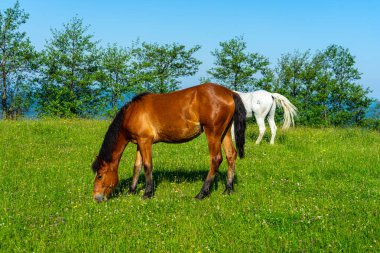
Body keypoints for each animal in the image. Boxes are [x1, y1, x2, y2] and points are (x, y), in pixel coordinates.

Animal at [92, 83, 246, 202]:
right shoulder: (139, 143)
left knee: (216, 159)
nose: (96, 198)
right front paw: (131, 191)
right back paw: (228, 189)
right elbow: (137, 166)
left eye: (99, 176)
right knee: (231, 155)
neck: (132, 112)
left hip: (213, 133)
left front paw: (147, 194)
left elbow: (147, 165)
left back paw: (202, 193)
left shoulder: (145, 141)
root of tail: (230, 93)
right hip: (224, 133)